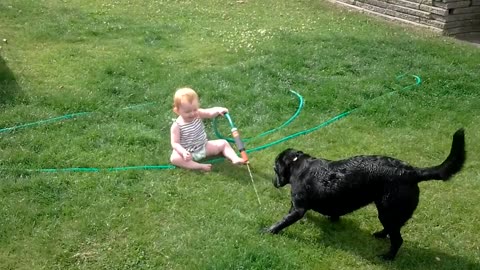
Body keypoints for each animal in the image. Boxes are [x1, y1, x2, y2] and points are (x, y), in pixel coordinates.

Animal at [266, 130, 464, 260]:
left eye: (274, 168)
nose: (273, 182)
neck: (298, 164)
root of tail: (412, 172)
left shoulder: (298, 208)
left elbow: (283, 221)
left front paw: (268, 231)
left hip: (388, 210)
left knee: (397, 240)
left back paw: (387, 257)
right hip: (388, 212)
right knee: (392, 231)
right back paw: (380, 235)